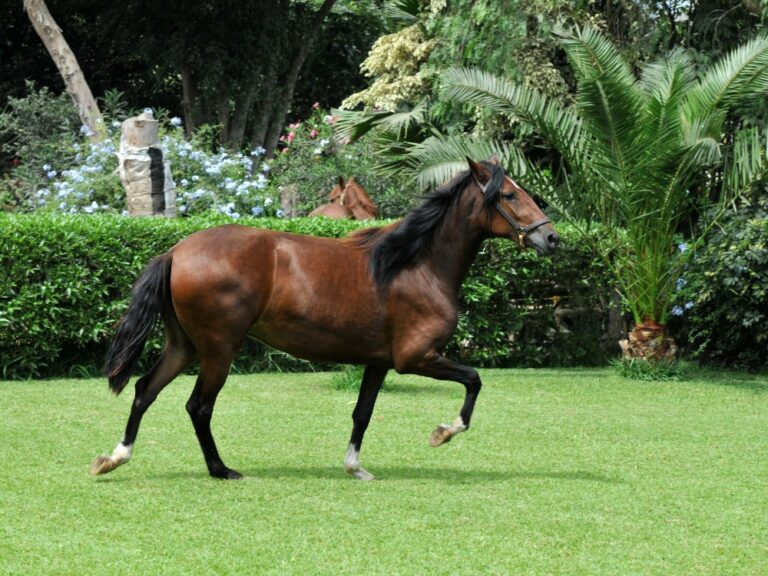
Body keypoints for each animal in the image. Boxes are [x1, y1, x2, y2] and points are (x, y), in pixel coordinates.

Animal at [91, 156, 560, 482]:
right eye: (510, 195)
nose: (551, 237)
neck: (414, 265)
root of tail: (176, 251)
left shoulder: (378, 362)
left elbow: (362, 413)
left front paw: (356, 467)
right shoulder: (416, 358)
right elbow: (474, 380)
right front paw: (443, 432)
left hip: (184, 345)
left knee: (145, 390)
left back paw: (114, 458)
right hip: (218, 349)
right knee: (198, 406)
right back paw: (221, 469)